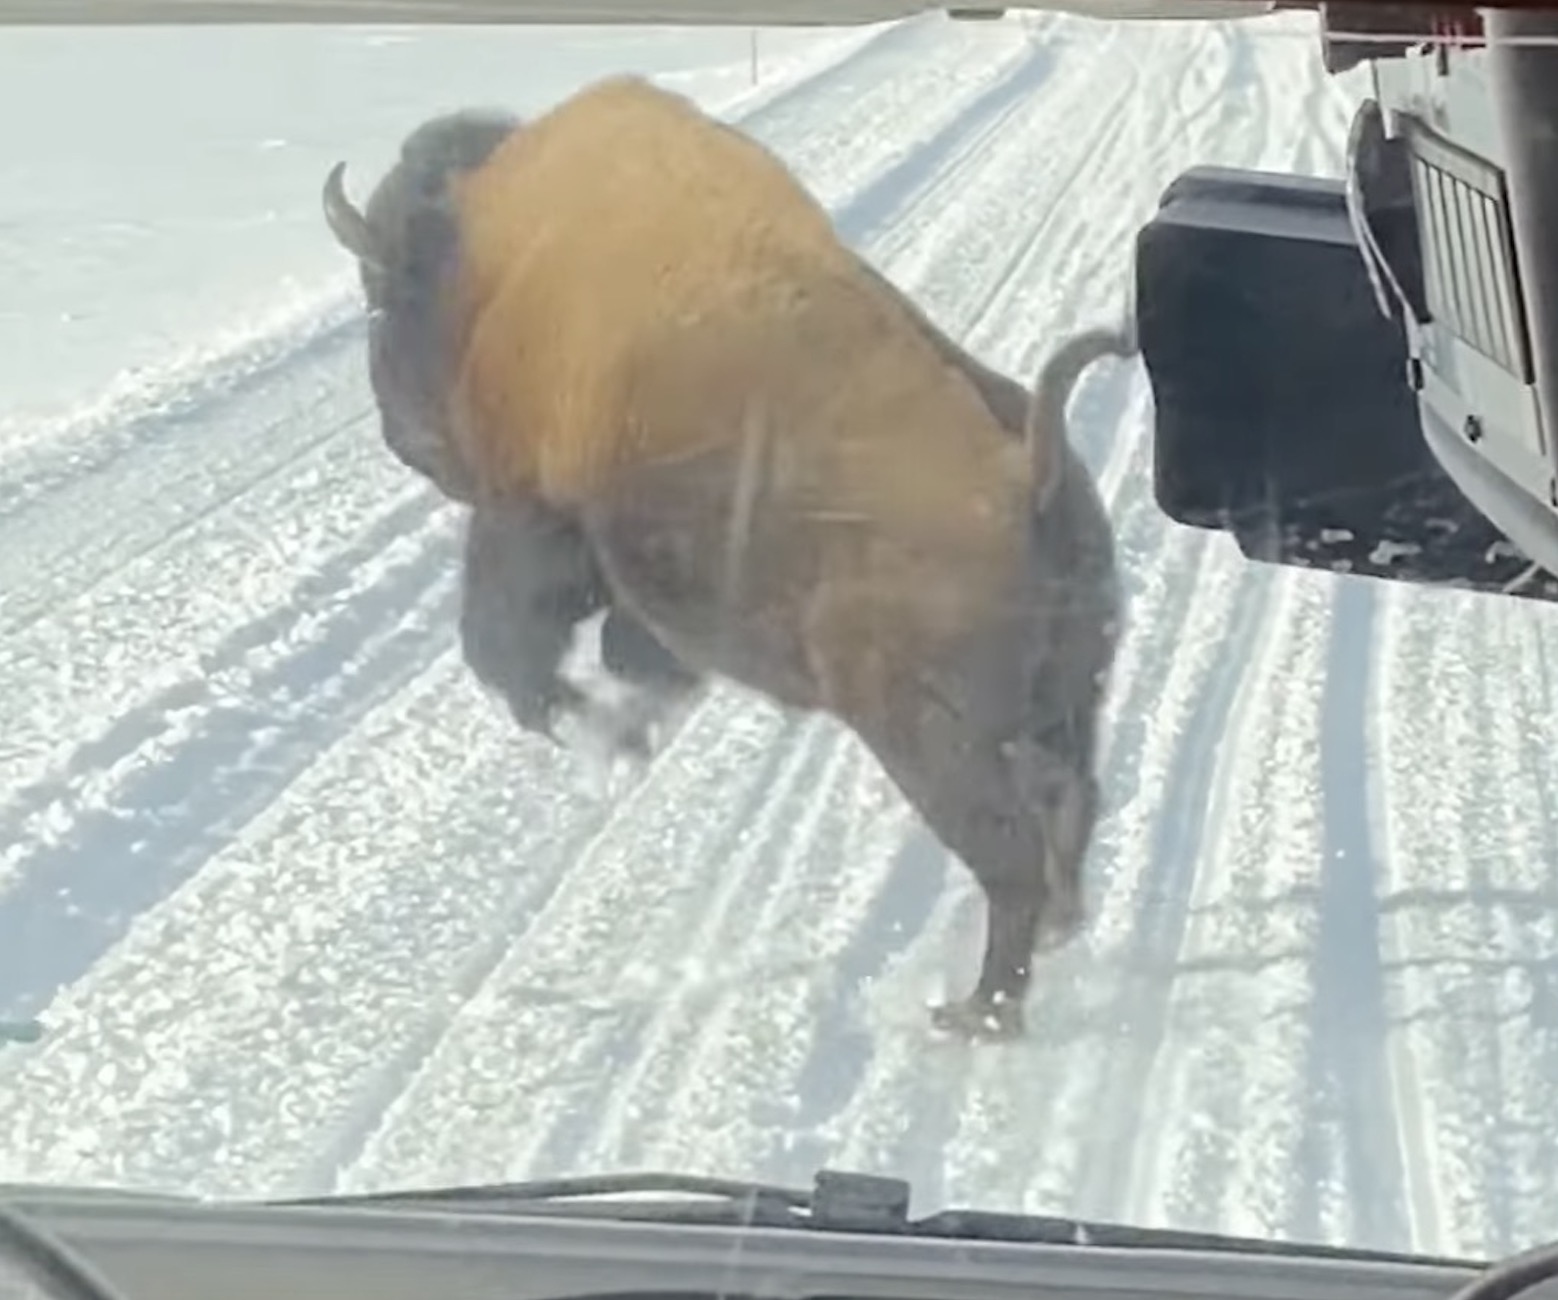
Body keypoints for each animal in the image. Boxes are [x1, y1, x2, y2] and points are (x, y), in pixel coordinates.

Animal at [322, 75, 1140, 1041]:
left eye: (382, 298)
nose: (398, 435)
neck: (487, 260)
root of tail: (1028, 468)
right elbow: (624, 654)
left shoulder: (531, 518)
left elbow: (508, 649)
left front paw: (603, 731)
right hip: (1067, 705)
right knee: (1071, 810)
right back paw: (1038, 951)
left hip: (922, 736)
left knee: (1007, 852)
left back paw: (974, 1014)